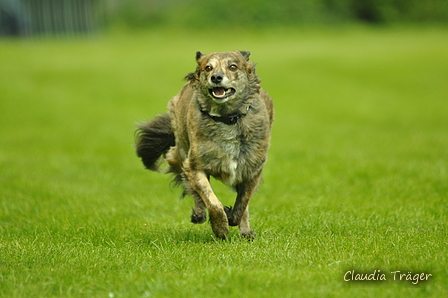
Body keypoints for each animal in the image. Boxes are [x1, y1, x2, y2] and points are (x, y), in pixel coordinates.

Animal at [135, 50, 272, 239]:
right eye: (208, 67)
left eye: (233, 66)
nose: (216, 77)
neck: (227, 118)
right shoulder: (195, 166)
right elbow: (212, 201)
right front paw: (220, 227)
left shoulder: (252, 169)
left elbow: (242, 203)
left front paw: (234, 219)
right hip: (181, 152)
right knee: (191, 187)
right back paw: (200, 214)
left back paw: (245, 231)